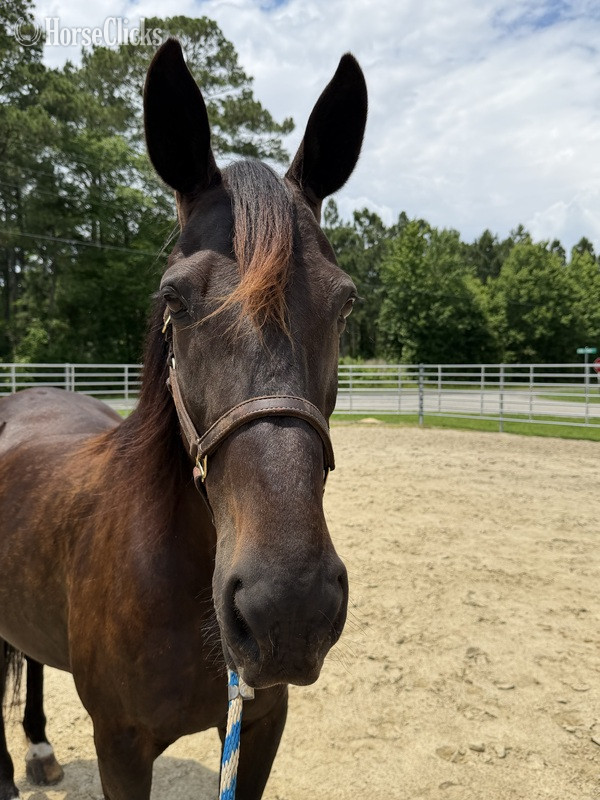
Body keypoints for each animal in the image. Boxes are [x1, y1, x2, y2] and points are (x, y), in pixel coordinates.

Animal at [0, 38, 367, 800]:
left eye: (345, 302)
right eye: (174, 298)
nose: (288, 609)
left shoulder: (260, 730)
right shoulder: (120, 747)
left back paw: (41, 749)